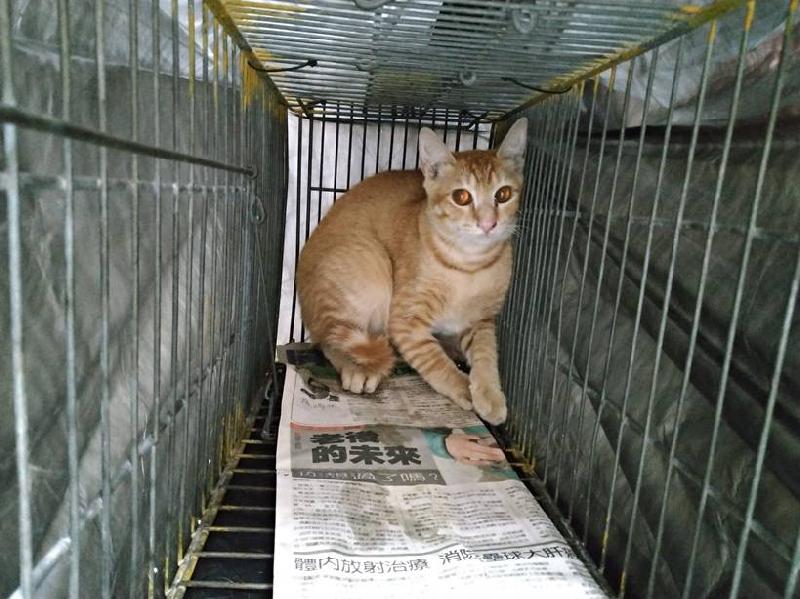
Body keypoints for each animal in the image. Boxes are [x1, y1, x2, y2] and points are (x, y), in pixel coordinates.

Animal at [297, 118, 528, 424]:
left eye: (503, 194)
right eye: (462, 197)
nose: (489, 223)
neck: (469, 267)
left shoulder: (481, 321)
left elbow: (486, 354)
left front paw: (489, 394)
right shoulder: (405, 322)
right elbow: (433, 360)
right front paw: (462, 387)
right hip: (371, 266)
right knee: (329, 340)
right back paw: (357, 367)